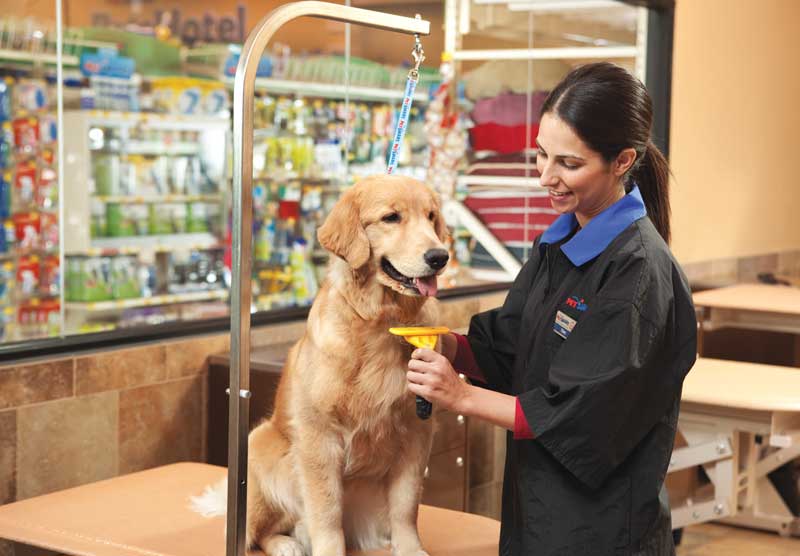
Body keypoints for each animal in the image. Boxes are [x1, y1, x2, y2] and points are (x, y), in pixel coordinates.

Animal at [248, 175, 450, 556]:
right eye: (391, 218)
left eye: (431, 217)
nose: (440, 256)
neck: (380, 322)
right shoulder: (319, 436)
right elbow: (326, 512)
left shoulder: (417, 432)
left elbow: (406, 506)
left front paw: (410, 548)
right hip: (261, 446)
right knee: (259, 530)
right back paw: (285, 544)